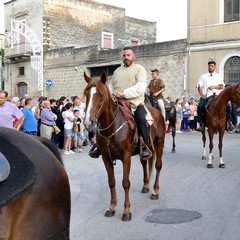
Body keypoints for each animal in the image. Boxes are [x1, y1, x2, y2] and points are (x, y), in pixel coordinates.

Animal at [83, 71, 165, 221]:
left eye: (100, 95)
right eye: (86, 94)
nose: (88, 122)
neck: (112, 127)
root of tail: (158, 113)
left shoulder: (126, 157)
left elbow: (125, 183)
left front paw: (126, 211)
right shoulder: (106, 158)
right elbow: (111, 182)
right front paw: (112, 207)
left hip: (159, 143)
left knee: (158, 166)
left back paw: (155, 191)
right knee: (144, 163)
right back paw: (146, 185)